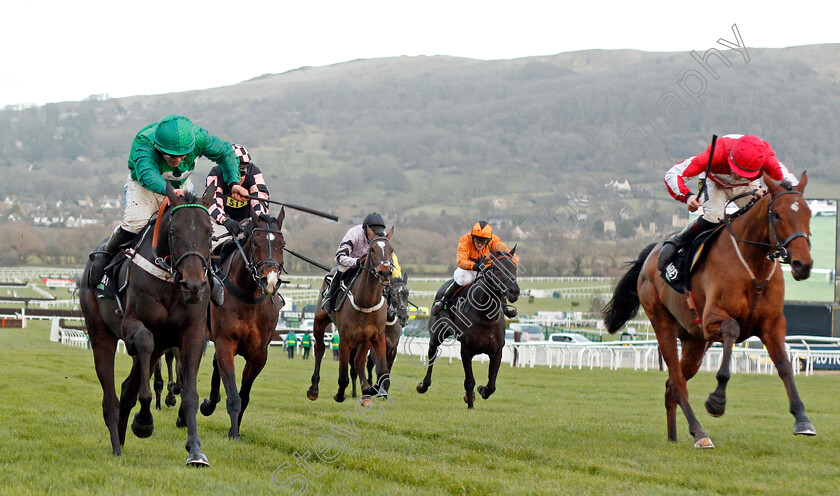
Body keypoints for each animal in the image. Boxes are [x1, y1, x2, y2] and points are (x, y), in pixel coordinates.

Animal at [80, 185, 215, 464]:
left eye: (210, 232)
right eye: (174, 231)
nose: (194, 285)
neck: (170, 282)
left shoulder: (192, 334)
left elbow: (190, 395)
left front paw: (195, 451)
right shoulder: (134, 324)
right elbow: (142, 345)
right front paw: (143, 421)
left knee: (126, 389)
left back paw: (121, 436)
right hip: (100, 332)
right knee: (111, 396)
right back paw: (116, 444)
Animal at [200, 207, 286, 440]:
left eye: (282, 244)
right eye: (255, 242)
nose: (270, 281)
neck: (248, 297)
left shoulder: (259, 354)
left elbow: (244, 395)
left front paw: (234, 429)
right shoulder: (226, 343)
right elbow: (233, 395)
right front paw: (234, 433)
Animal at [308, 229, 398, 404]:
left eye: (391, 250)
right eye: (372, 250)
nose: (384, 273)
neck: (365, 302)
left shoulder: (377, 336)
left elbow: (383, 372)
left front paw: (372, 389)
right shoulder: (345, 338)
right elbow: (343, 376)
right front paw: (340, 394)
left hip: (365, 340)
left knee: (358, 360)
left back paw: (366, 393)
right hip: (320, 320)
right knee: (320, 348)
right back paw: (314, 389)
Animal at [416, 247, 520, 406]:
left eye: (514, 267)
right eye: (496, 268)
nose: (514, 291)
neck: (485, 316)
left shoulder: (497, 351)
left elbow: (492, 385)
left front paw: (482, 390)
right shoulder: (466, 349)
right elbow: (469, 381)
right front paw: (470, 401)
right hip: (436, 334)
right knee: (432, 353)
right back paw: (423, 384)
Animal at [600, 172, 816, 448]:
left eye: (808, 213)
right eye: (777, 214)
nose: (802, 264)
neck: (753, 268)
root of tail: (652, 253)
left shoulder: (772, 324)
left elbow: (785, 366)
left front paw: (802, 419)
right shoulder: (712, 319)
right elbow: (732, 331)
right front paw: (717, 400)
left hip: (694, 341)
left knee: (672, 384)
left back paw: (674, 437)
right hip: (663, 324)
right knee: (677, 382)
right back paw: (700, 432)